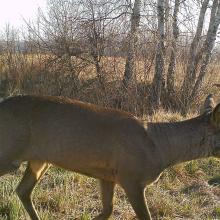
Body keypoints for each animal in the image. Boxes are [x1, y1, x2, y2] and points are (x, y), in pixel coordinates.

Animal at [0, 95, 219, 220]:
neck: (161, 148)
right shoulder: (131, 178)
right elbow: (144, 216)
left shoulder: (107, 175)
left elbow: (108, 210)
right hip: (9, 151)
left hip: (40, 160)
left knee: (23, 190)